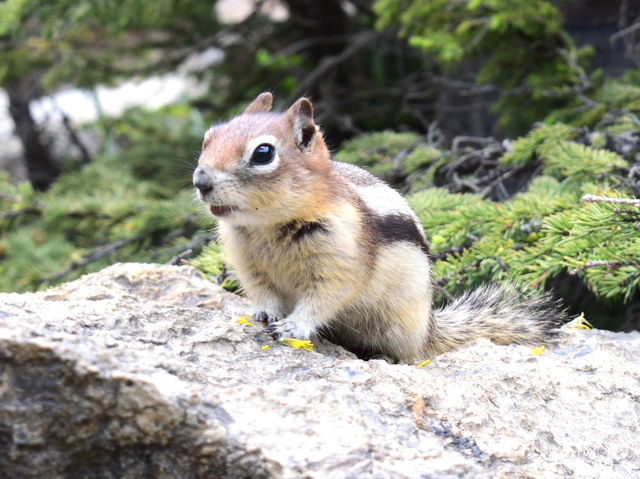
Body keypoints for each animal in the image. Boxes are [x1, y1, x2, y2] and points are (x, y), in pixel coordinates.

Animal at [192, 93, 564, 364]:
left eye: (263, 153)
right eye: (208, 138)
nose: (200, 181)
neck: (267, 226)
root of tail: (430, 329)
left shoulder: (340, 261)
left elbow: (323, 299)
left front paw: (295, 324)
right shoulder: (249, 265)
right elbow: (262, 292)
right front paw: (263, 313)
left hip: (396, 326)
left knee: (411, 355)